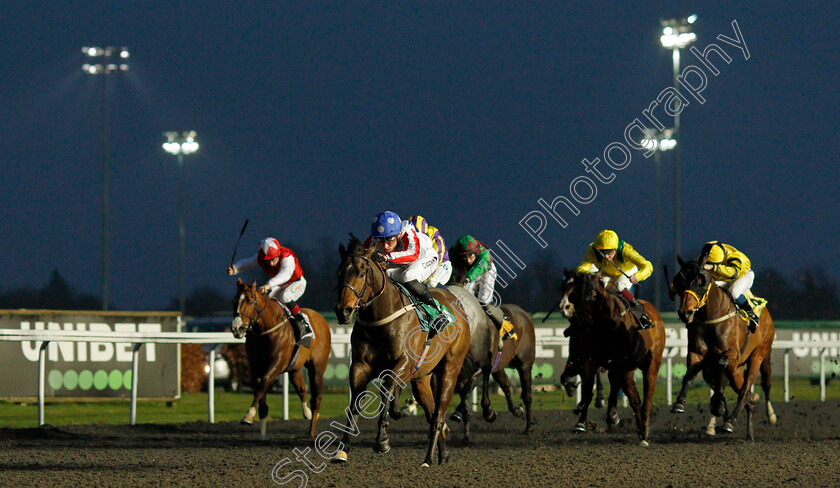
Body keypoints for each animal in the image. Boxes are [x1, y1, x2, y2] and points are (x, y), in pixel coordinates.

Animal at [233, 278, 334, 438]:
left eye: (250, 302)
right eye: (234, 302)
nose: (237, 328)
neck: (265, 331)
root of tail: (321, 319)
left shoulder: (277, 364)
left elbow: (263, 383)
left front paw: (248, 415)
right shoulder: (256, 366)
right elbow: (260, 389)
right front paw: (262, 433)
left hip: (317, 367)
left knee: (316, 398)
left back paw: (311, 433)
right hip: (295, 368)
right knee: (302, 389)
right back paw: (307, 413)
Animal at [334, 238, 472, 468]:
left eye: (361, 273)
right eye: (339, 272)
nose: (343, 311)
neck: (381, 317)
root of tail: (459, 308)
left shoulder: (404, 363)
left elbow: (387, 388)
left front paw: (382, 440)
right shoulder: (360, 366)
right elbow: (355, 402)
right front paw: (342, 449)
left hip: (450, 370)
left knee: (438, 415)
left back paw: (427, 459)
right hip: (422, 379)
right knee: (432, 414)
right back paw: (441, 454)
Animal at [446, 284, 540, 444]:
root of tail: (524, 314)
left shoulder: (480, 368)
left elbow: (469, 392)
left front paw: (488, 414)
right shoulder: (459, 374)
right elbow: (465, 398)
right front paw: (465, 433)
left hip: (525, 363)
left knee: (527, 394)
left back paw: (528, 427)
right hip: (499, 366)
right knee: (506, 385)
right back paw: (517, 411)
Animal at [560, 272, 668, 444]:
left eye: (594, 294)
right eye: (574, 293)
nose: (581, 319)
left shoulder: (618, 363)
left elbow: (613, 386)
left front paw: (612, 415)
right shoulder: (587, 360)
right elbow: (587, 390)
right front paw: (581, 422)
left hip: (652, 365)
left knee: (647, 400)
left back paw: (644, 432)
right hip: (628, 370)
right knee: (635, 400)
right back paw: (640, 431)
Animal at [672, 258, 776, 440]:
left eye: (701, 281)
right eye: (680, 281)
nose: (686, 312)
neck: (711, 316)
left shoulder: (731, 354)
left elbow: (721, 368)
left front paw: (718, 407)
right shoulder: (697, 353)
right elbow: (689, 375)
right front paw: (679, 402)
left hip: (758, 355)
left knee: (745, 390)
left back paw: (732, 421)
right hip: (737, 369)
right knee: (746, 394)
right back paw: (748, 432)